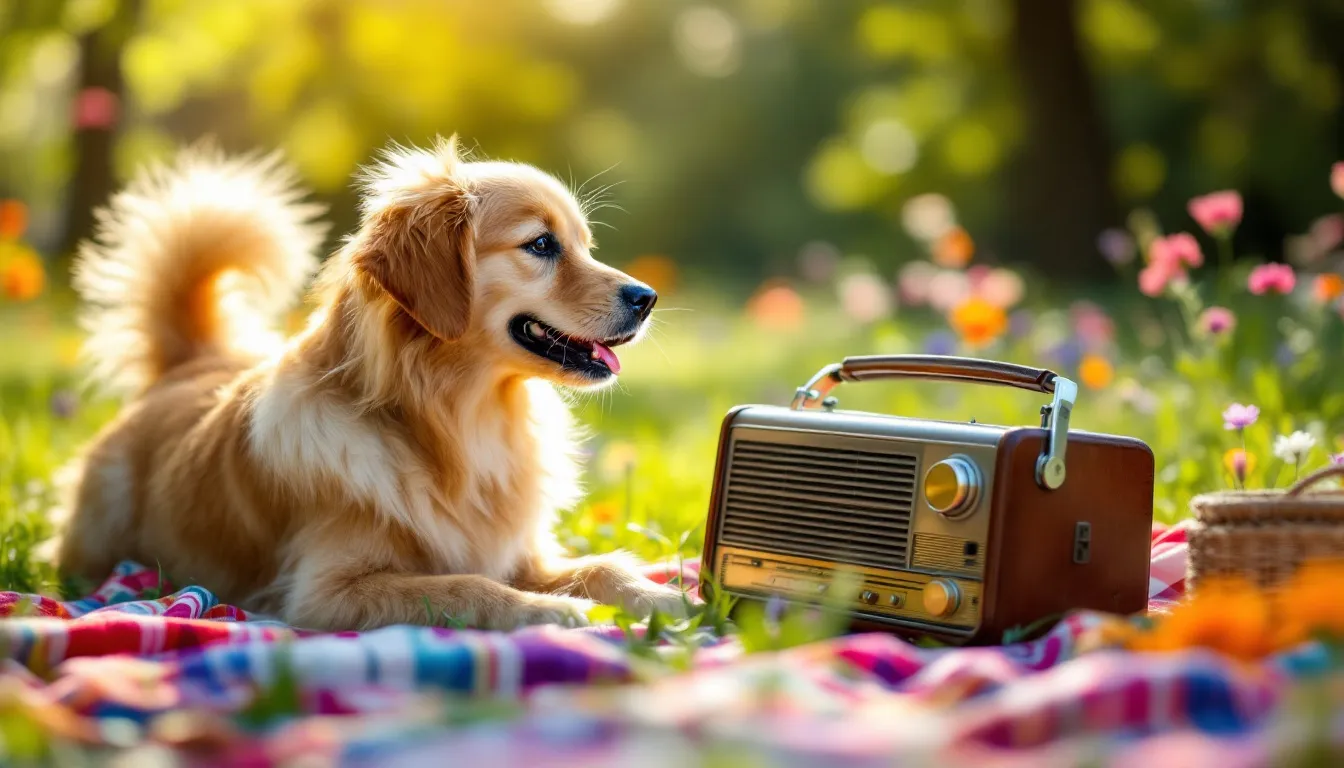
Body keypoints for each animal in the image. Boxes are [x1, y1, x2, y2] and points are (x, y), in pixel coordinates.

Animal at [55, 136, 682, 632]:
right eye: (542, 244)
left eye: (584, 245)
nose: (647, 297)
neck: (454, 429)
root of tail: (189, 364)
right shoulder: (327, 592)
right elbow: (463, 585)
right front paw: (547, 610)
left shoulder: (521, 553)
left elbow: (601, 565)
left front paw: (662, 596)